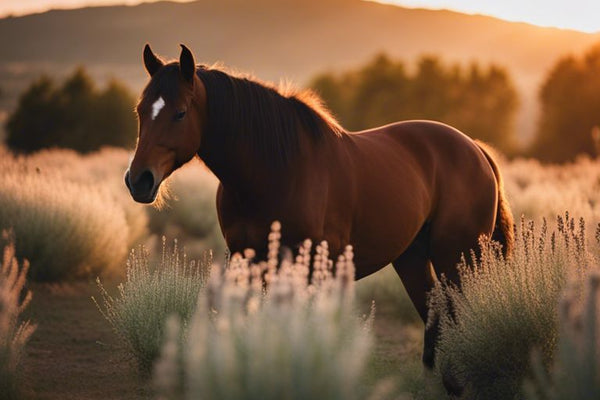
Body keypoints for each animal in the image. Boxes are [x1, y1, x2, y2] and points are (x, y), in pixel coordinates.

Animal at [124, 43, 512, 384]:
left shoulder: (312, 267)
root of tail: (475, 149)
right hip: (413, 257)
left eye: (180, 112)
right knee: (434, 312)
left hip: (458, 257)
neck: (276, 169)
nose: (138, 180)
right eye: (140, 110)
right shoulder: (249, 261)